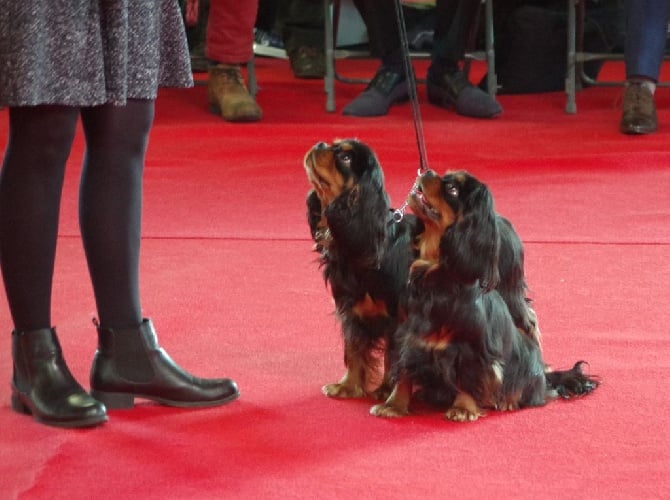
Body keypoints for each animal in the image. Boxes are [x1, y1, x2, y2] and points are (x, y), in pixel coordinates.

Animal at [304, 139, 420, 400]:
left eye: (346, 158)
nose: (320, 144)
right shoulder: (351, 310)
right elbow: (353, 348)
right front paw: (347, 386)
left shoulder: (398, 318)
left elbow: (392, 356)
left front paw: (386, 390)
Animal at [372, 170, 600, 420]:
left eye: (452, 190)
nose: (428, 172)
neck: (435, 270)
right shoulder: (408, 337)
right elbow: (404, 372)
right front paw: (393, 405)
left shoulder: (473, 349)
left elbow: (468, 377)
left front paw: (463, 408)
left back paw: (507, 400)